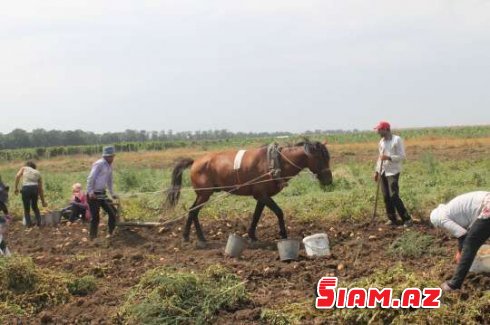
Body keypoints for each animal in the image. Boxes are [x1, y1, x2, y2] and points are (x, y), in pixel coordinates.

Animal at [166, 140, 334, 246]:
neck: (275, 162)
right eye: (320, 158)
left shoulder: (261, 196)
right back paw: (192, 238)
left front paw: (252, 236)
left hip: (203, 194)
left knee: (192, 211)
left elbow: (256, 216)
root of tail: (195, 162)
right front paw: (283, 234)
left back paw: (195, 237)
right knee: (193, 211)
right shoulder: (262, 196)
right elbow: (279, 212)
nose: (329, 180)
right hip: (204, 194)